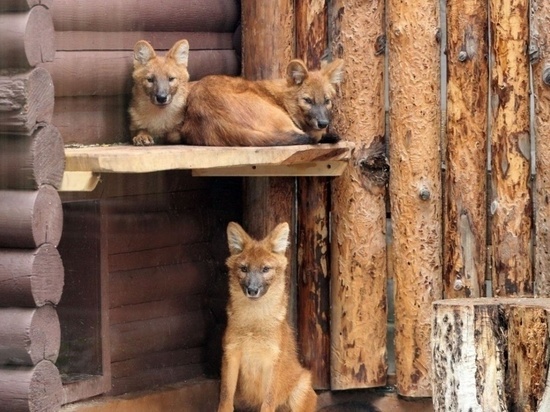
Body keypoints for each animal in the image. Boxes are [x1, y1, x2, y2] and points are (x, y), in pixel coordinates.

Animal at [181, 59, 344, 146]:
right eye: (308, 100)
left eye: (327, 101)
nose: (323, 123)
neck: (281, 97)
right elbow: (313, 136)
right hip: (279, 117)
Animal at [218, 222, 316, 412]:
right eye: (244, 269)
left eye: (265, 269)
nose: (252, 290)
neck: (254, 323)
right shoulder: (231, 354)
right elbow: (225, 398)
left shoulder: (272, 359)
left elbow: (268, 402)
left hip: (301, 387)